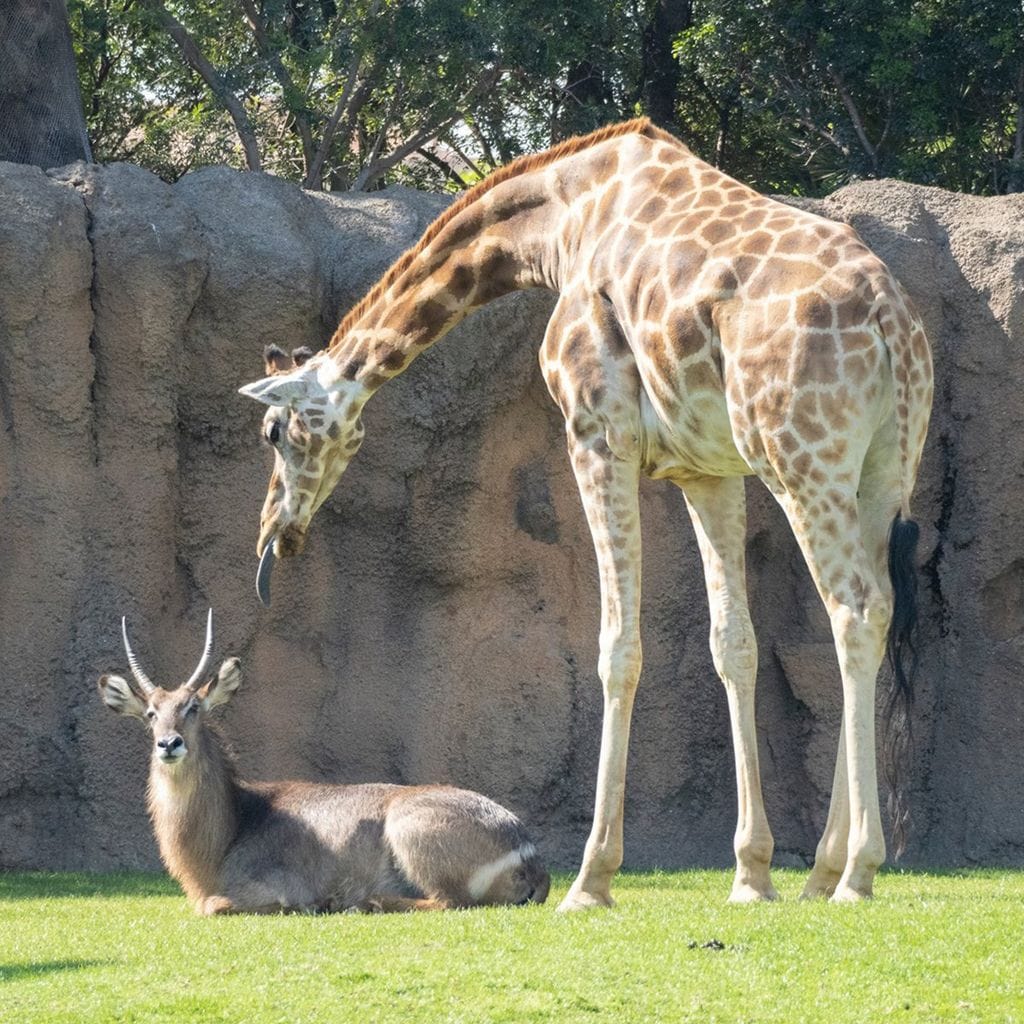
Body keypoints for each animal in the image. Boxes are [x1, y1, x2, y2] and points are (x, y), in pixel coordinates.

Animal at [98, 610, 548, 917]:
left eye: (193, 707)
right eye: (151, 714)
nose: (169, 744)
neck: (234, 825)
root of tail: (526, 850)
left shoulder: (269, 886)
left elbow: (212, 905)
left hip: (411, 831)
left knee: (449, 902)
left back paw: (360, 902)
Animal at [241, 116, 937, 909]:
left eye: (273, 432)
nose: (274, 536)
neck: (561, 219)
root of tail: (892, 321)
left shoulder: (596, 432)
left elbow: (617, 647)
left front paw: (592, 877)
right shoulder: (709, 468)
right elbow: (734, 645)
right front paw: (751, 873)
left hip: (800, 458)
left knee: (855, 609)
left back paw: (857, 871)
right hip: (880, 470)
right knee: (875, 610)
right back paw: (822, 870)